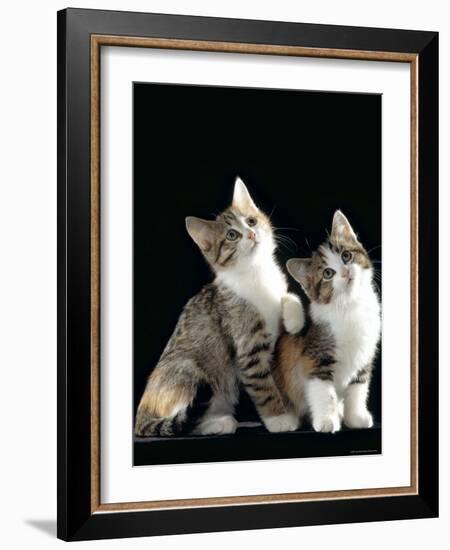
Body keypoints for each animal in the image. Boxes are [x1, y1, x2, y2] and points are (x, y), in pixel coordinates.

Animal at [134, 179, 302, 438]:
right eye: (232, 235)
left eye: (251, 221)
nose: (252, 233)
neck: (257, 273)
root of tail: (141, 413)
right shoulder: (248, 348)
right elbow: (264, 386)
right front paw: (279, 418)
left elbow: (288, 295)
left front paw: (294, 318)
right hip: (188, 369)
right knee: (184, 421)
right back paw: (219, 424)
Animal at [274, 209, 380, 434]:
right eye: (328, 273)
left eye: (346, 255)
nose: (346, 272)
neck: (349, 305)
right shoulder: (315, 357)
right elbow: (324, 392)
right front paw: (326, 421)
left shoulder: (364, 355)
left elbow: (358, 388)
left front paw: (355, 418)